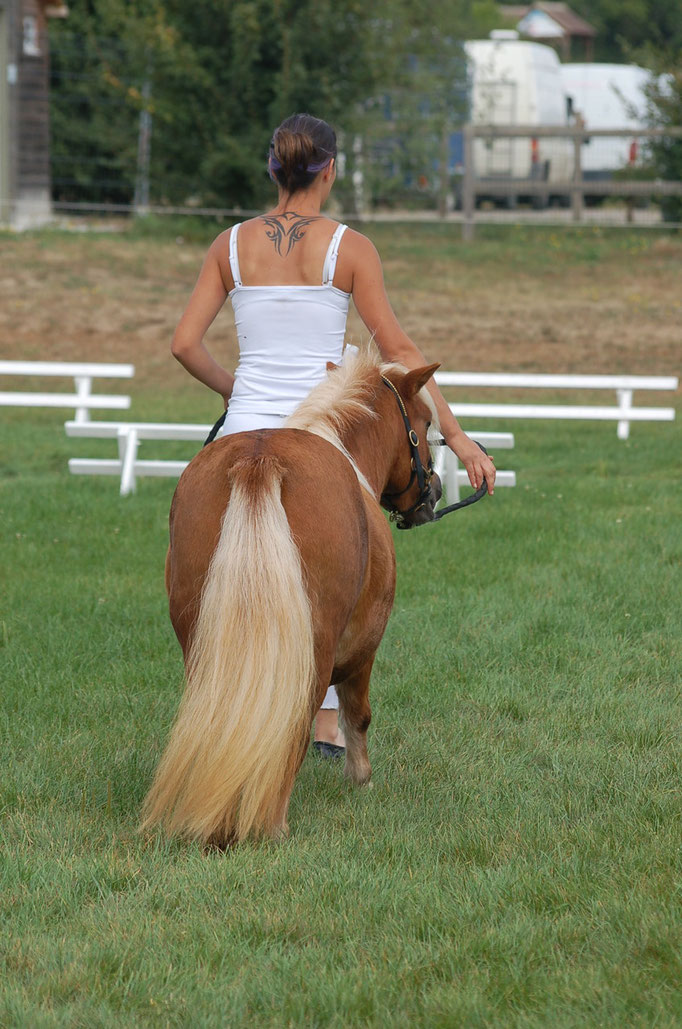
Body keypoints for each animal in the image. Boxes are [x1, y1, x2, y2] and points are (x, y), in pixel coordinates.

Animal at [142, 349, 442, 847]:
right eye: (426, 423)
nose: (432, 492)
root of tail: (259, 460)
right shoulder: (364, 650)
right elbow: (357, 715)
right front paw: (361, 779)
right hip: (312, 656)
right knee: (294, 727)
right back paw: (272, 822)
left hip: (199, 642)